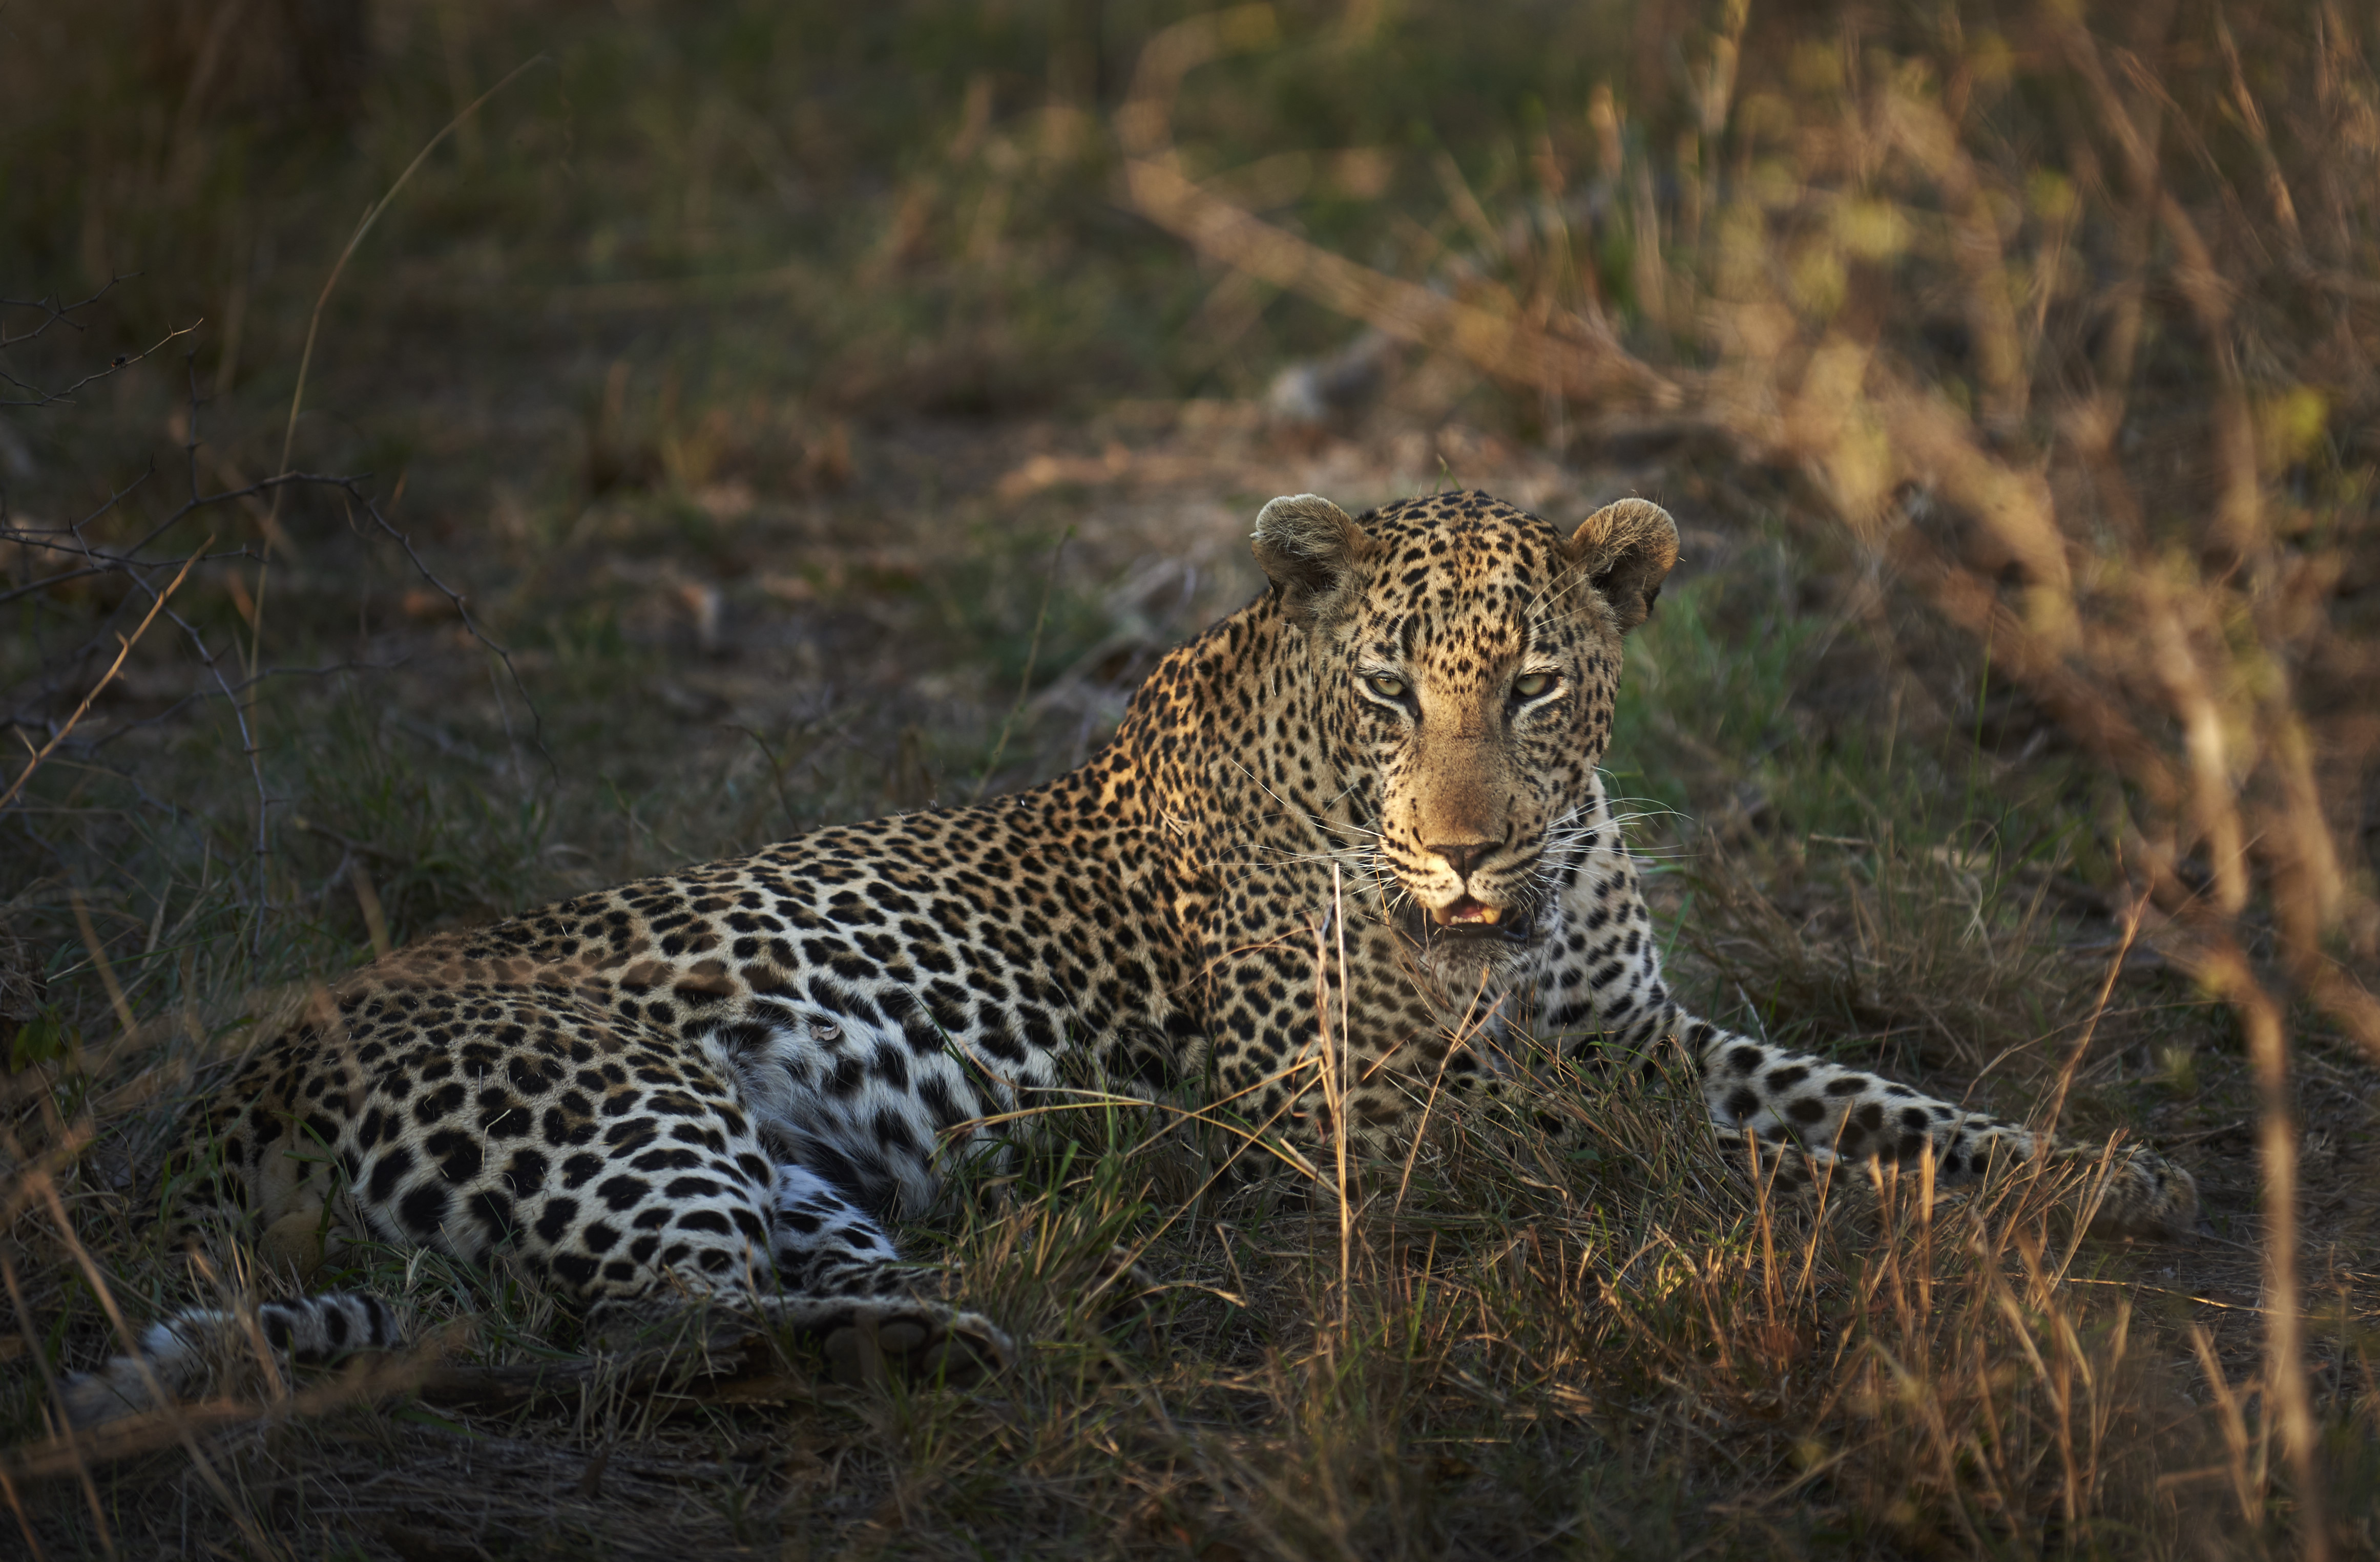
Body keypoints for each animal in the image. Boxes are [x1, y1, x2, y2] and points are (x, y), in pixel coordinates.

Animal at [63, 488, 2196, 1426]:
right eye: (1390, 689)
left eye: (1529, 685)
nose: (1464, 844)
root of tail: (212, 1098)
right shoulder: (1345, 1104)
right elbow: (1634, 1152)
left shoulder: (1631, 1029)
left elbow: (1848, 1093)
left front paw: (2084, 1168)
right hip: (619, 1102)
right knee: (633, 1332)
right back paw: (977, 1319)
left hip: (776, 1169)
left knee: (662, 1302)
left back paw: (993, 1296)